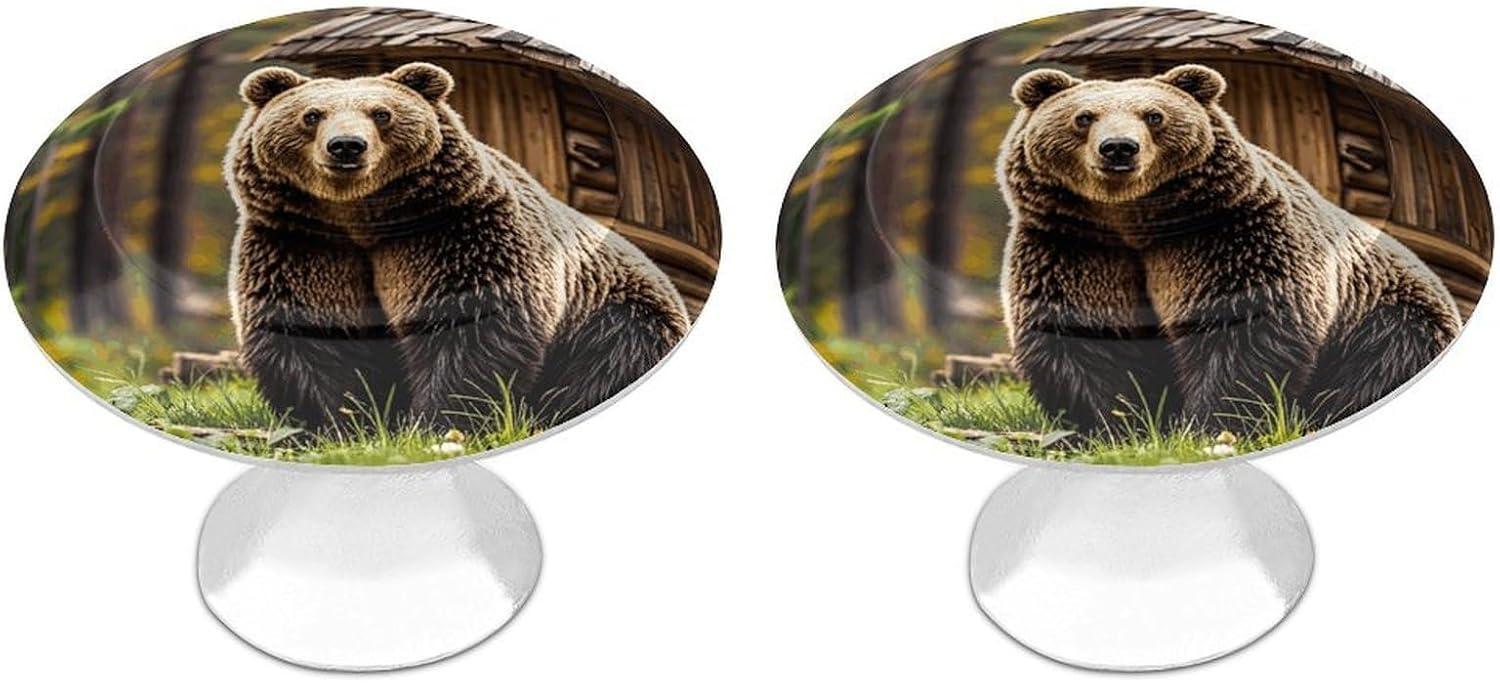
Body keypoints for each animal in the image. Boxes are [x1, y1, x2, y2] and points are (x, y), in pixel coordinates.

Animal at [225, 62, 691, 432]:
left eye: (382, 113)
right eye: (311, 115)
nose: (346, 147)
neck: (359, 218)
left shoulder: (453, 234)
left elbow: (469, 328)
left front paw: (435, 424)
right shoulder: (302, 244)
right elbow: (310, 335)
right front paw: (343, 424)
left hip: (618, 315)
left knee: (609, 360)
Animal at [996, 64, 1461, 434]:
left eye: (1154, 115)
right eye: (1083, 117)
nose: (1119, 148)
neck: (1132, 220)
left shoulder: (1224, 236)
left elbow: (1242, 329)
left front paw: (1207, 425)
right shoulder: (1074, 247)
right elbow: (1082, 337)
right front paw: (1117, 425)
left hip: (1389, 318)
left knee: (1381, 363)